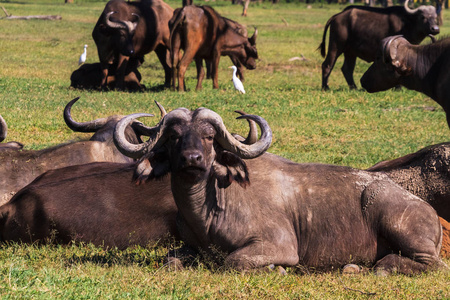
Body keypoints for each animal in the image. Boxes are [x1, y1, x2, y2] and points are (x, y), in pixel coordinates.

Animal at [113, 107, 446, 274]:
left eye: (208, 137)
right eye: (174, 137)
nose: (191, 159)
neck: (207, 212)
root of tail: (429, 211)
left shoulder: (280, 246)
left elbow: (233, 261)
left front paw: (275, 269)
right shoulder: (188, 247)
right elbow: (170, 260)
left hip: (395, 221)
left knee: (432, 265)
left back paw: (380, 266)